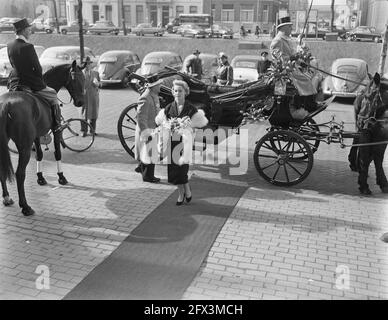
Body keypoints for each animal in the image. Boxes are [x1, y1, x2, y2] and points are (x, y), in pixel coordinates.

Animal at [0, 60, 85, 215]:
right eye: (76, 79)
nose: (81, 102)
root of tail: (6, 104)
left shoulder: (37, 135)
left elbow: (39, 154)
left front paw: (40, 178)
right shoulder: (56, 131)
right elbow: (57, 153)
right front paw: (61, 177)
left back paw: (7, 197)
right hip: (24, 147)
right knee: (20, 173)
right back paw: (25, 206)